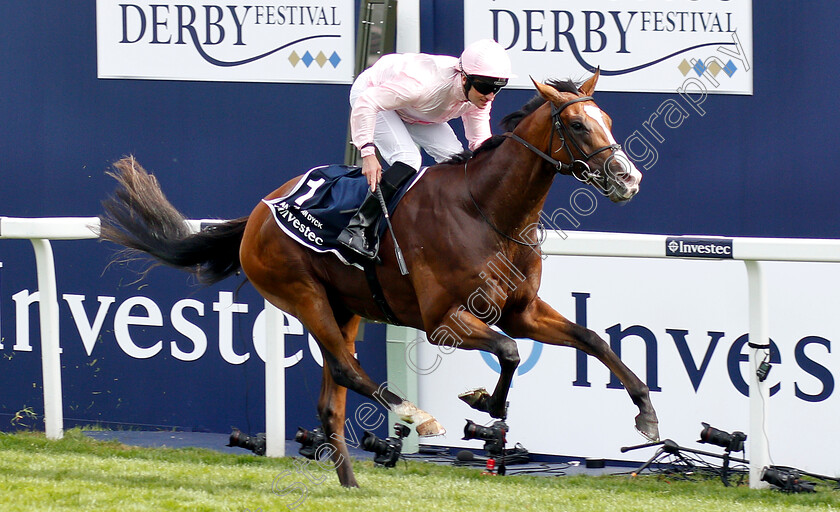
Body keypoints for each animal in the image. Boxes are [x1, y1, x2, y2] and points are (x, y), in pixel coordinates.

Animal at [101, 70, 660, 486]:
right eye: (579, 126)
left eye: (607, 118)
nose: (629, 178)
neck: (486, 211)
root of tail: (261, 211)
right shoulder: (442, 321)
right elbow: (508, 351)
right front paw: (484, 407)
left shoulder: (521, 311)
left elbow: (591, 339)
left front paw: (646, 413)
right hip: (302, 295)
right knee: (348, 371)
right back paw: (416, 415)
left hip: (344, 307)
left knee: (331, 401)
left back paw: (351, 483)